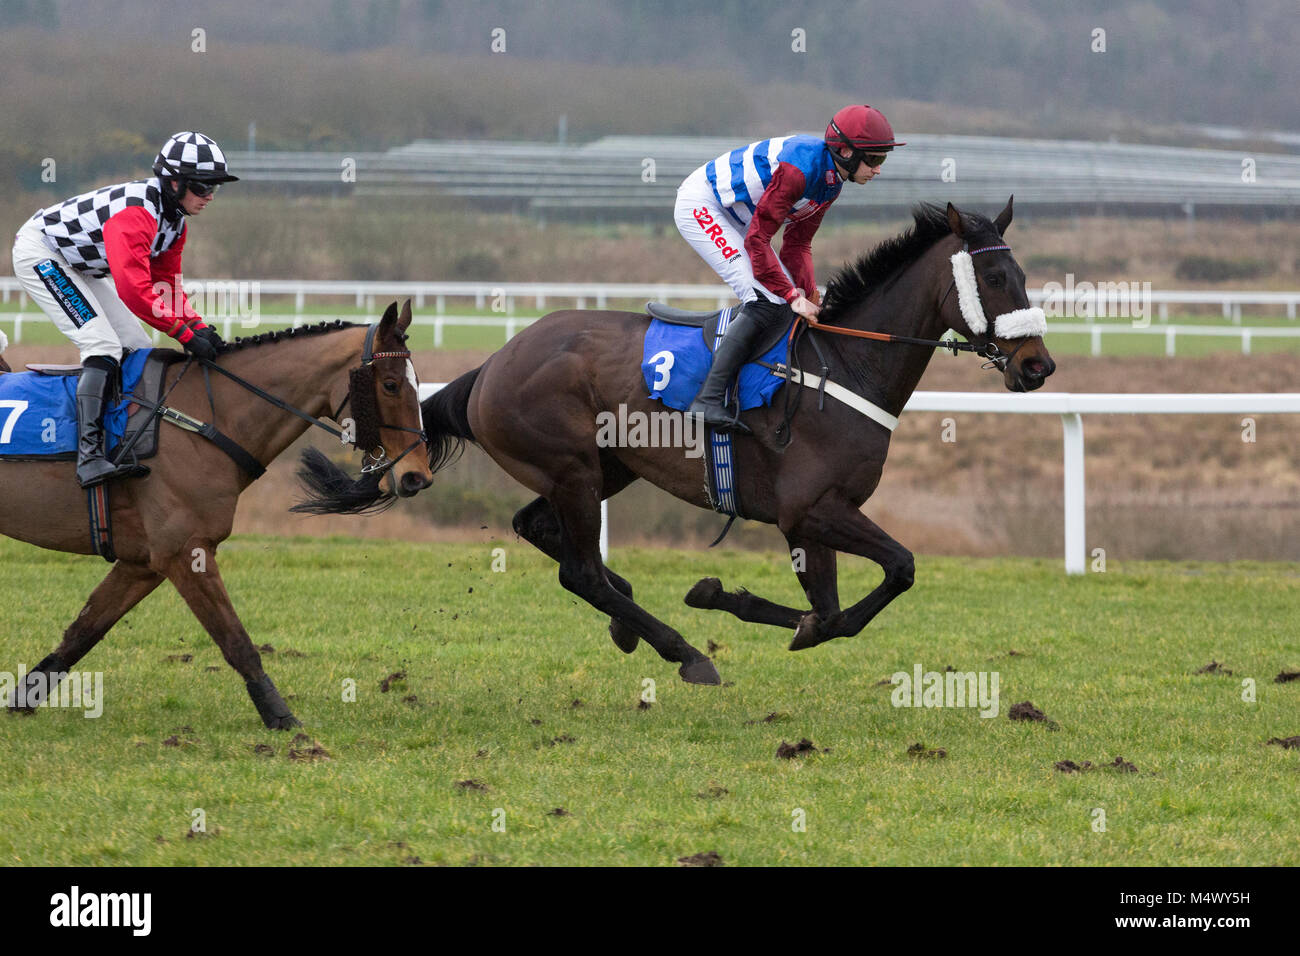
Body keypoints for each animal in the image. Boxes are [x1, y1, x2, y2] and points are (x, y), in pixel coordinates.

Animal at [2, 299, 434, 723]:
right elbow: (235, 640)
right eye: (391, 385)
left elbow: (84, 629)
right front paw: (281, 718)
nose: (418, 476)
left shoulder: (143, 562)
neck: (202, 420)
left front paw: (23, 698)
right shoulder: (184, 551)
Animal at [309, 200, 1050, 686]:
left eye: (1023, 275)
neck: (843, 368)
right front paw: (737, 608)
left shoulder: (812, 518)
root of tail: (490, 365)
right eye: (995, 279)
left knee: (540, 532)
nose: (1038, 366)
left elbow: (835, 610)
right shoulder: (810, 509)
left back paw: (627, 616)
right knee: (577, 569)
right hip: (573, 468)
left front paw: (734, 600)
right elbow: (895, 571)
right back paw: (682, 652)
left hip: (604, 467)